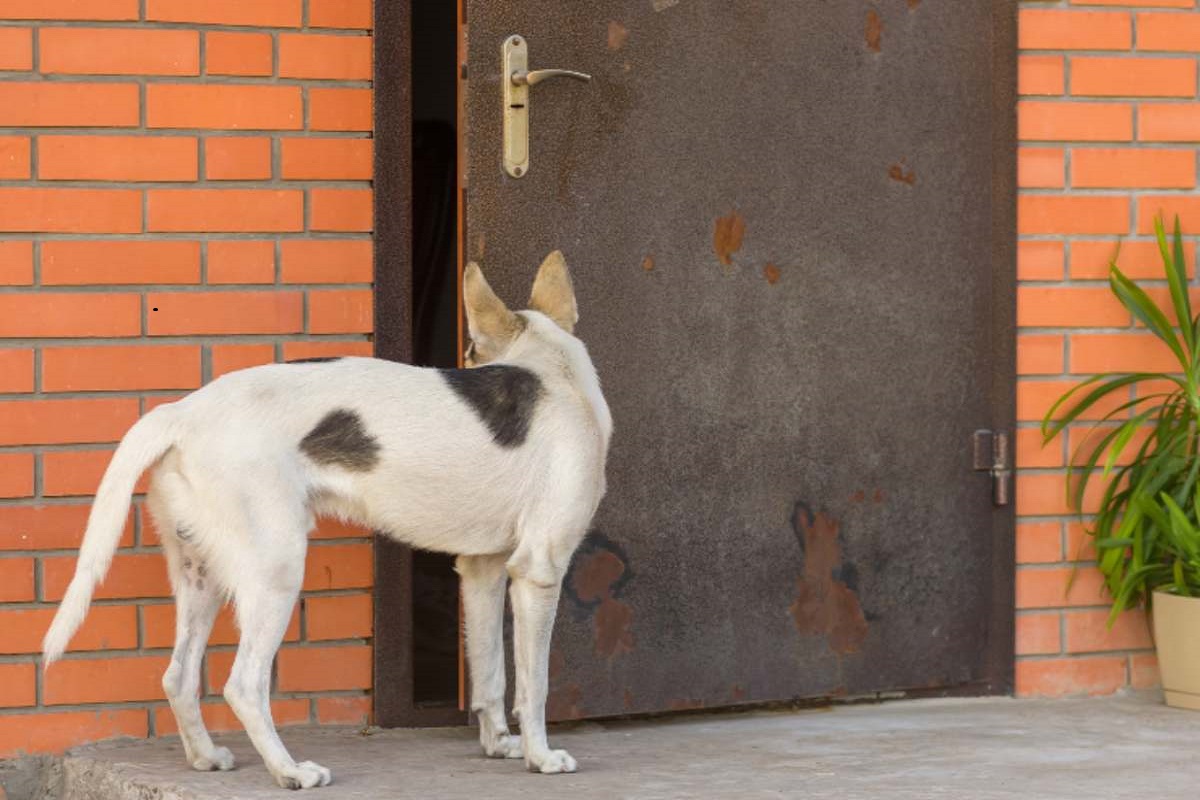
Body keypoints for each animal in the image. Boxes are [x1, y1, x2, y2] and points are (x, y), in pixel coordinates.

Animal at [43, 253, 614, 791]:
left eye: (471, 352)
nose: (463, 358)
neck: (554, 370)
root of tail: (182, 412)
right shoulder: (539, 571)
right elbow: (534, 684)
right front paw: (542, 757)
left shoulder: (482, 571)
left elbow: (490, 674)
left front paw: (500, 745)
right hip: (276, 571)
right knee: (244, 685)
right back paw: (290, 771)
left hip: (201, 577)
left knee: (179, 677)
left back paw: (206, 757)